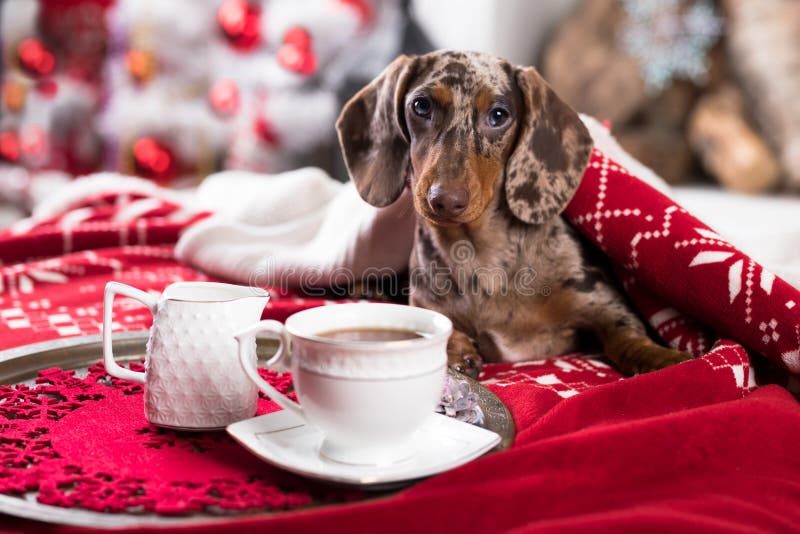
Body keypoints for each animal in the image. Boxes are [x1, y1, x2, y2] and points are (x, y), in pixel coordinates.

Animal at [334, 48, 692, 378]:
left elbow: (628, 338)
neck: (481, 254)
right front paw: (455, 349)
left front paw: (667, 359)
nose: (444, 200)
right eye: (421, 106)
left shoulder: (606, 304)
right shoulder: (426, 301)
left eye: (498, 114)